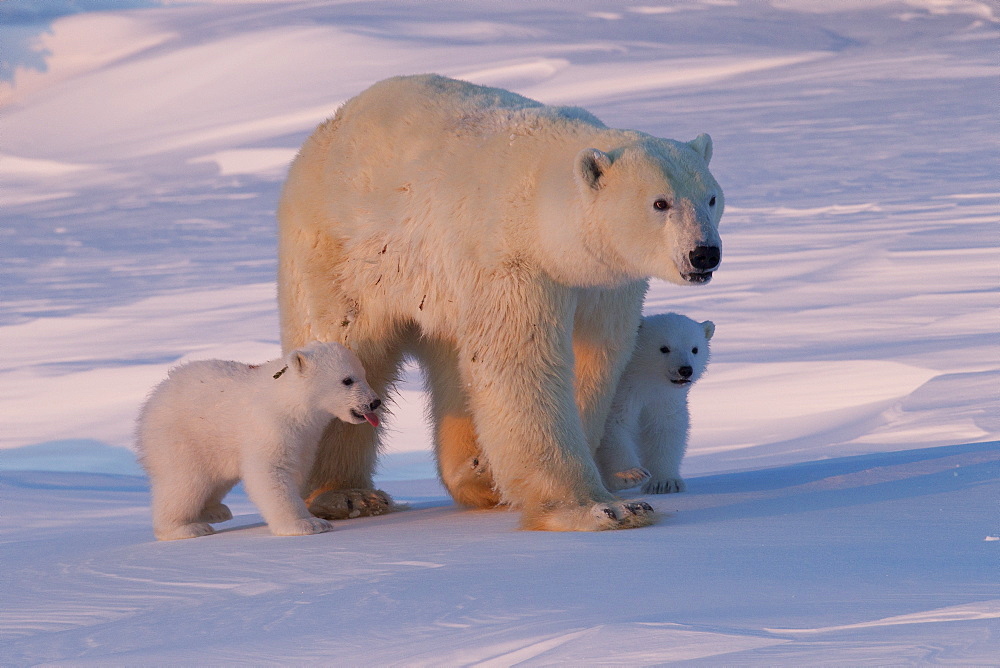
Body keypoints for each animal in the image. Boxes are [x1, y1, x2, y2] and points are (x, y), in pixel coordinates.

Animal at [135, 342, 380, 540]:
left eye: (364, 374)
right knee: (185, 481)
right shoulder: (270, 425)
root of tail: (154, 397)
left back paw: (215, 510)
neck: (289, 400)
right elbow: (270, 471)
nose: (374, 402)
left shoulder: (306, 437)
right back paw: (185, 527)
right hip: (181, 436)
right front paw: (307, 524)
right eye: (347, 380)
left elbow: (297, 468)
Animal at [592, 310, 712, 494]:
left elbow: (665, 430)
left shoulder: (663, 400)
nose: (685, 370)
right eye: (664, 348)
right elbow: (613, 426)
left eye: (695, 349)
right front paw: (631, 474)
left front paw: (665, 483)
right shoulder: (619, 394)